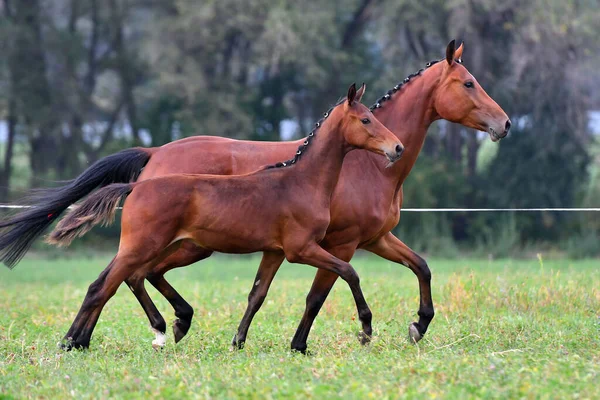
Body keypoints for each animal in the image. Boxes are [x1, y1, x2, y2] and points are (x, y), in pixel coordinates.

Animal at [44, 84, 406, 350]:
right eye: (365, 120)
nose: (397, 148)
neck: (302, 181)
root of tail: (136, 185)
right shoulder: (301, 249)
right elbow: (350, 272)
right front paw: (366, 329)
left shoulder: (274, 252)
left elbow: (258, 293)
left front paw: (239, 342)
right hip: (141, 246)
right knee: (103, 286)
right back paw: (72, 342)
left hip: (154, 247)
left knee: (121, 280)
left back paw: (91, 338)